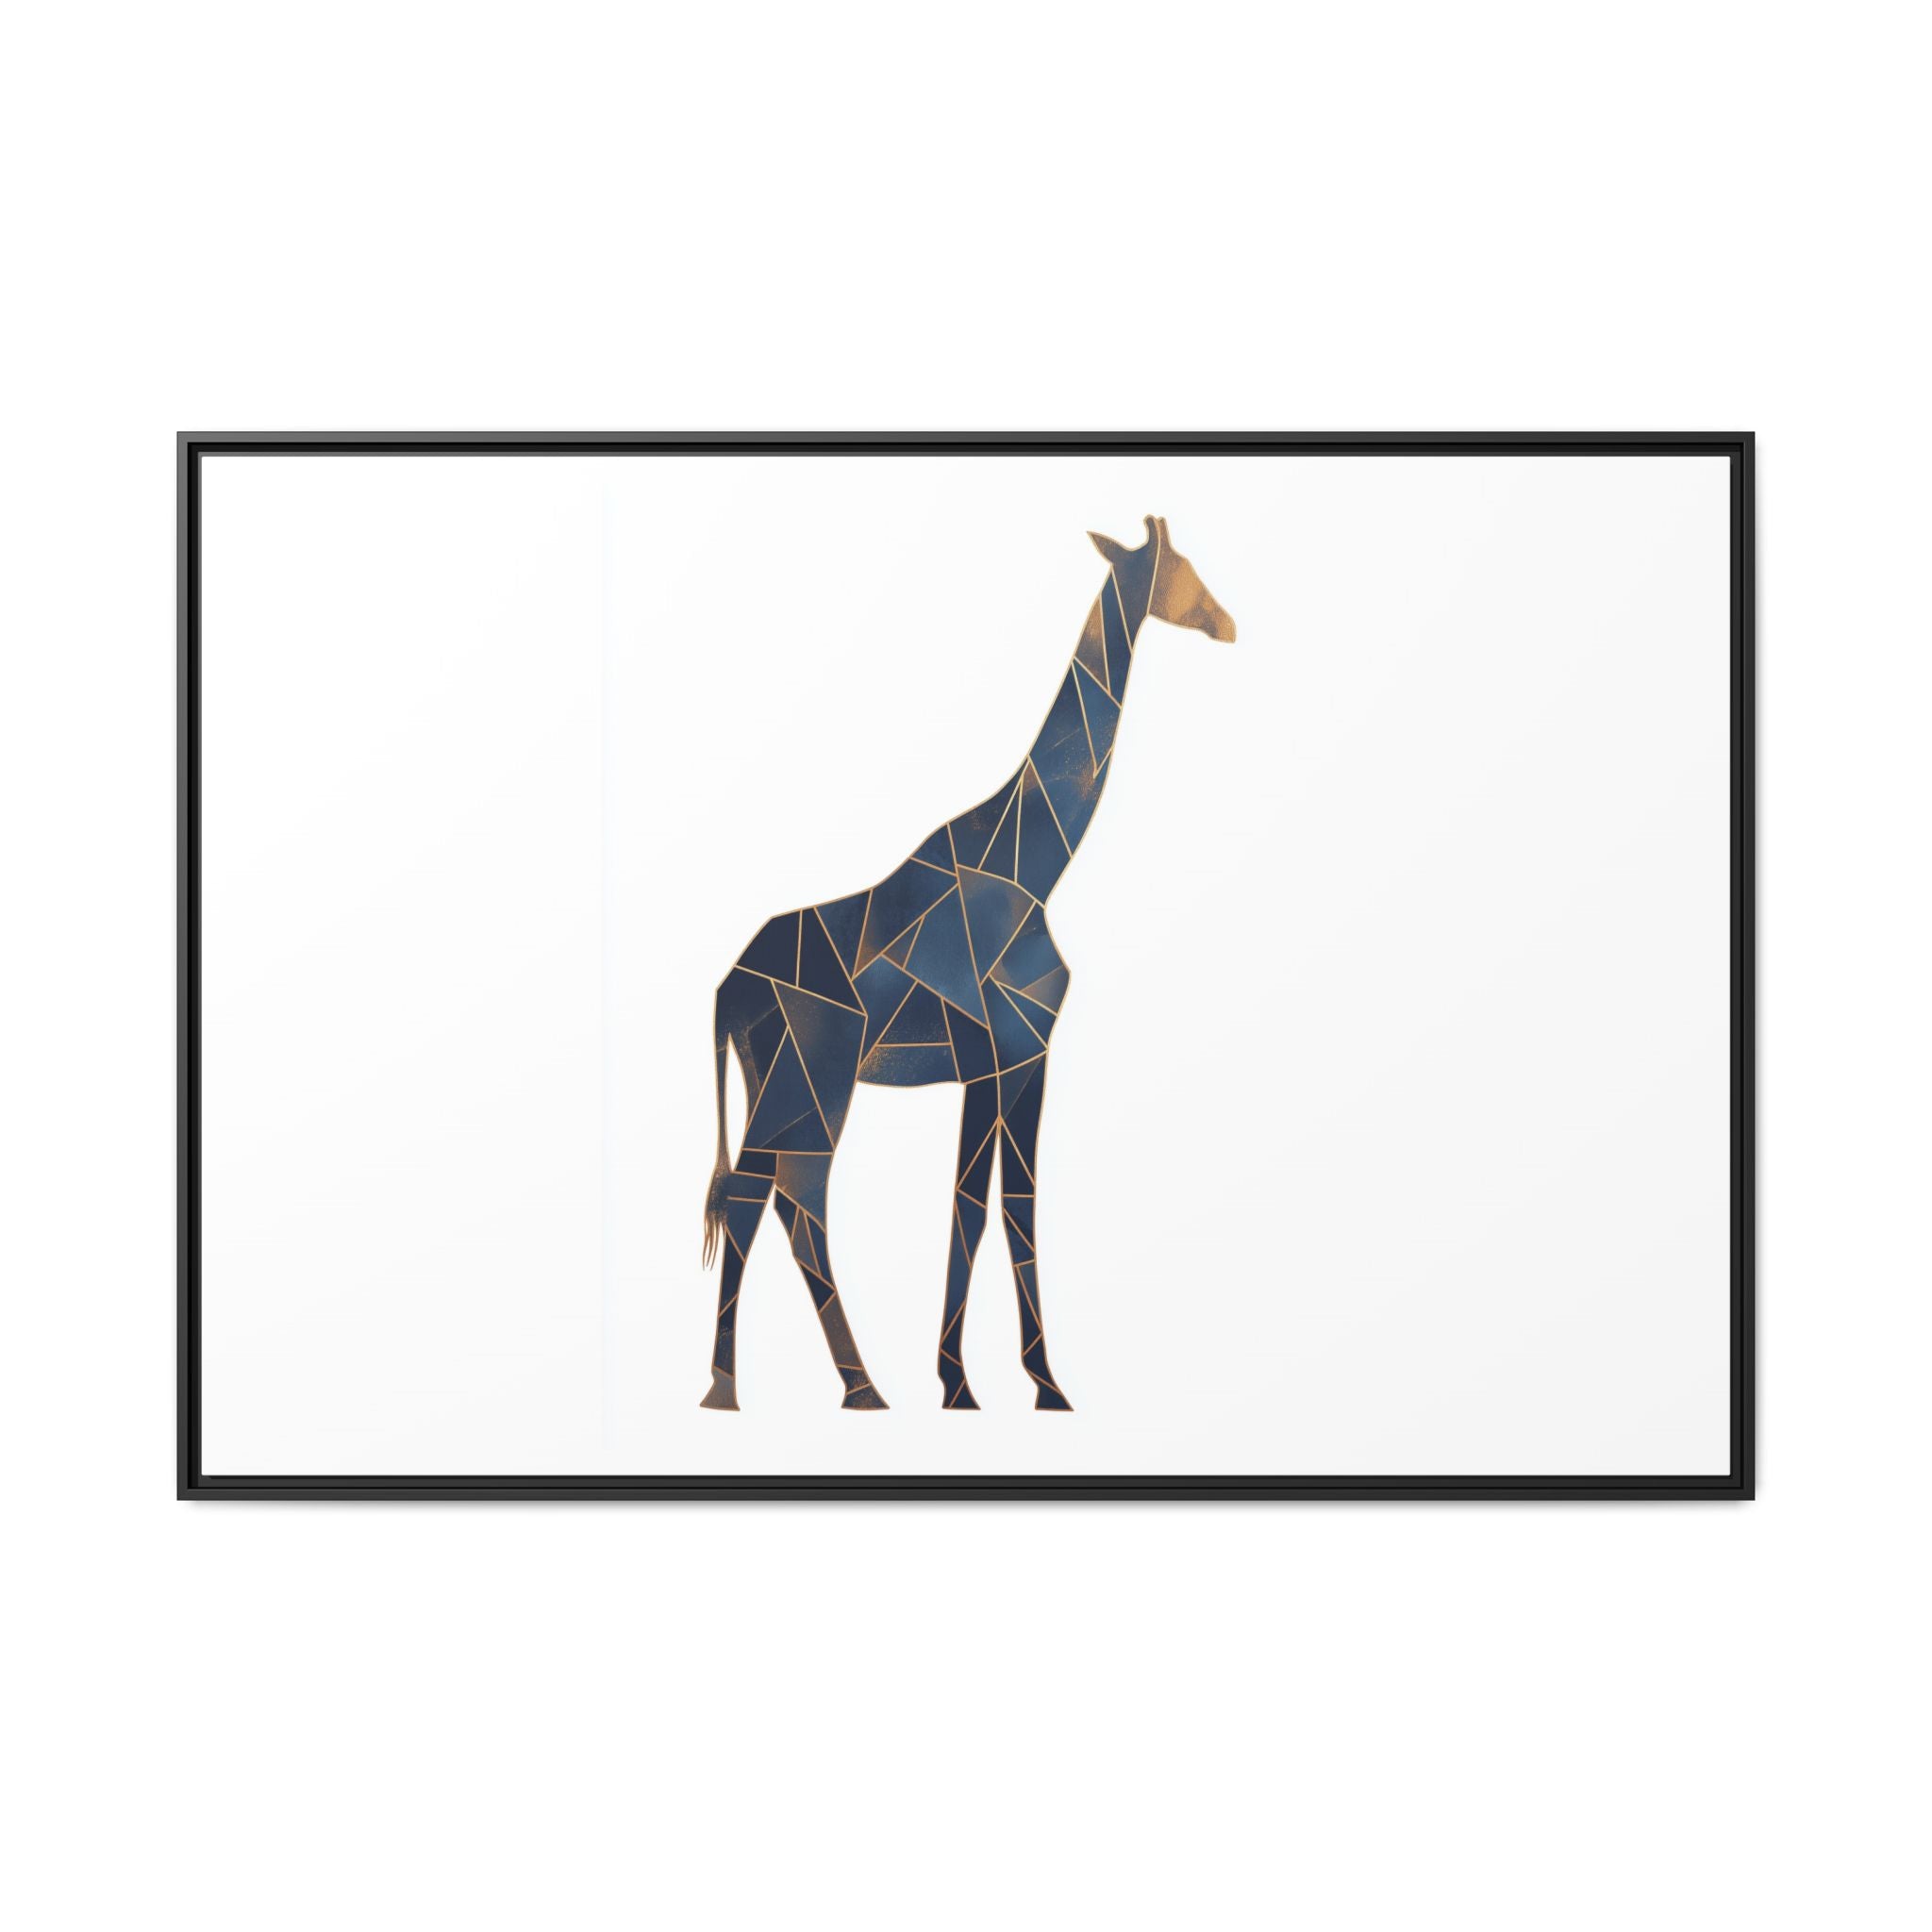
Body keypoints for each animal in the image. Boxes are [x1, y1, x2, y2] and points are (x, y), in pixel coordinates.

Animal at [698, 515, 1236, 1412]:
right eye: (1182, 566)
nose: (1227, 624)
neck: (1037, 865)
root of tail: (727, 989)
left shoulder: (1005, 1061)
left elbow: (986, 1206)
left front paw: (990, 1381)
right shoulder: (1011, 1051)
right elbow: (996, 1207)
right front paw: (1008, 1386)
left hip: (774, 1079)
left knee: (771, 1196)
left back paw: (819, 1385)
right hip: (815, 1076)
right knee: (783, 1196)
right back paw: (770, 1390)